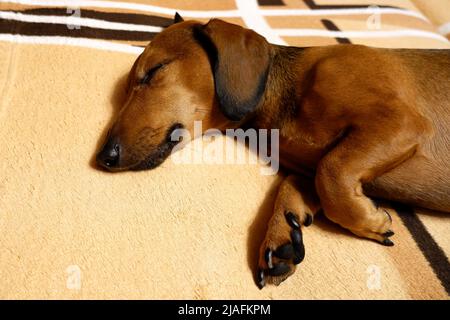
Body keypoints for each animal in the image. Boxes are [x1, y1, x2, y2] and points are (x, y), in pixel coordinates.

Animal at [96, 14, 450, 288]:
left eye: (155, 69)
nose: (104, 157)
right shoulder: (307, 168)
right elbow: (299, 184)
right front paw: (283, 235)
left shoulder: (400, 122)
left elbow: (332, 172)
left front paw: (369, 221)